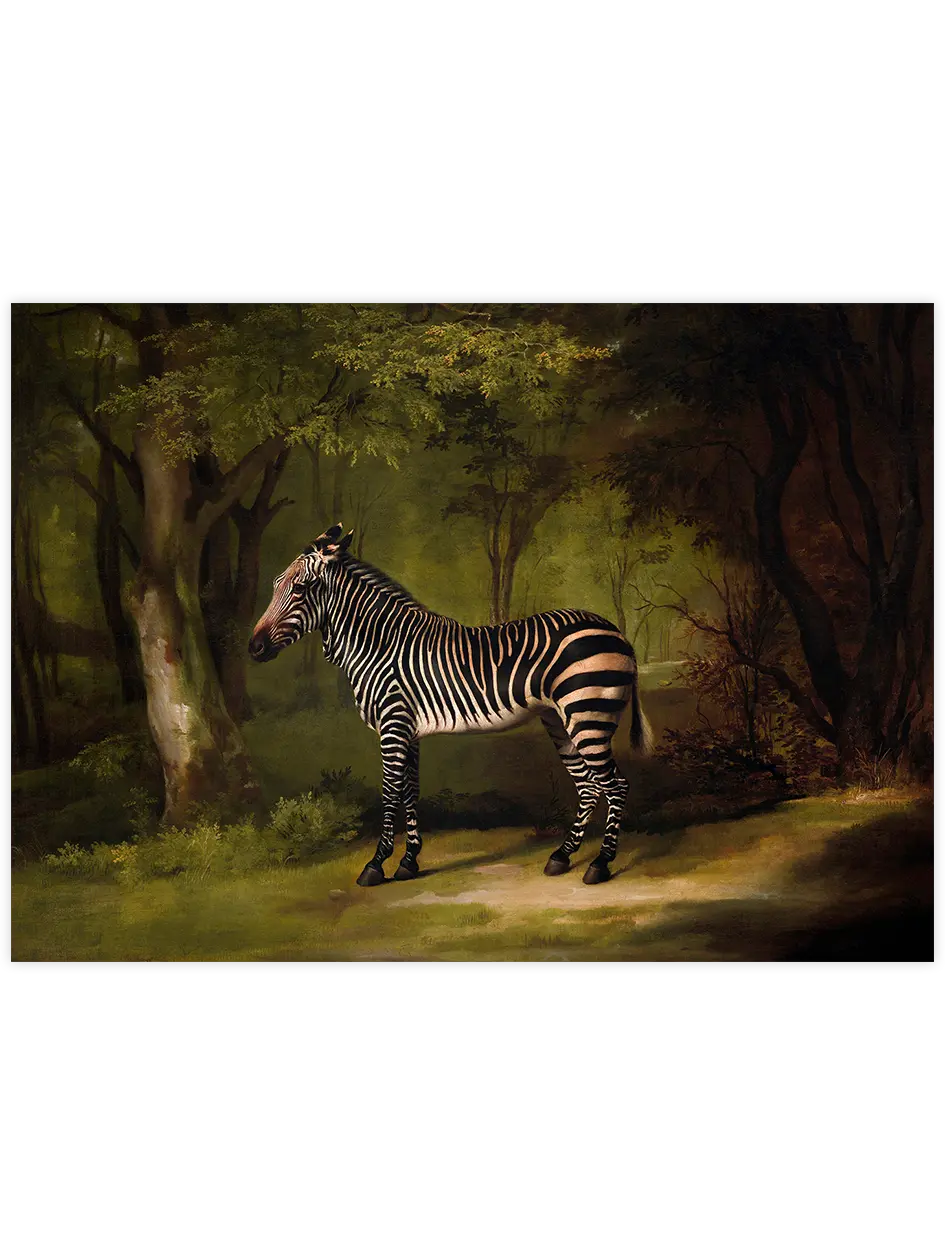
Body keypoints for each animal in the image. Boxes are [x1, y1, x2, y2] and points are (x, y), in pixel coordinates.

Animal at [249, 524, 652, 887]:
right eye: (275, 586)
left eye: (301, 588)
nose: (253, 648)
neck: (379, 644)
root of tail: (616, 631)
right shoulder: (408, 730)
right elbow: (410, 792)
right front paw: (409, 862)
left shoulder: (392, 725)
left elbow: (390, 793)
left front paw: (376, 865)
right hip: (560, 719)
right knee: (588, 786)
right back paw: (561, 857)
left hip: (588, 714)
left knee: (615, 785)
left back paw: (599, 864)